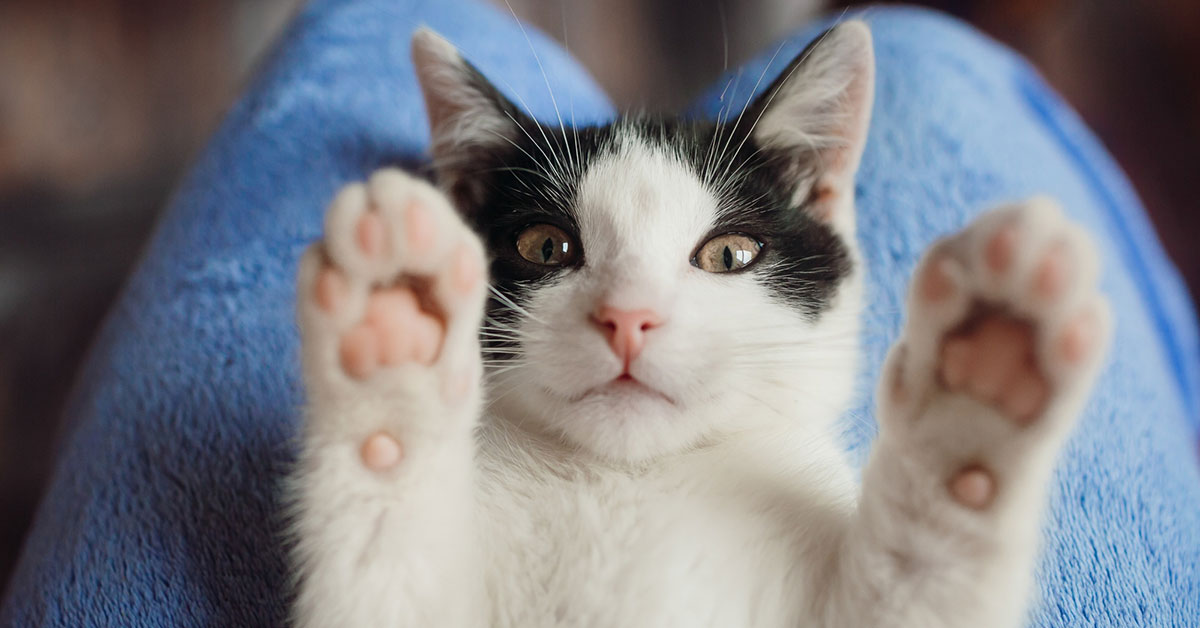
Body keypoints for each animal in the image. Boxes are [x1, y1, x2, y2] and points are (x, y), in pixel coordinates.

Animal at [285, 22, 1108, 628]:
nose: (629, 317)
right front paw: (392, 339)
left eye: (729, 254)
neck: (626, 480)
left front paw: (981, 387)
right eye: (546, 247)